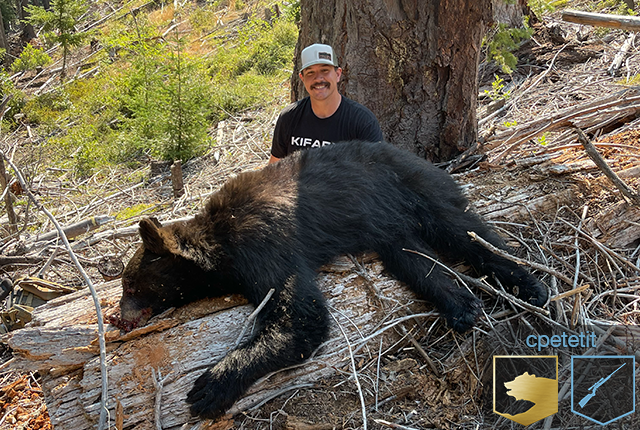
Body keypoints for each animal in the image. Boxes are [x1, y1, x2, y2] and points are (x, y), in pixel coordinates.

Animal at [111, 140, 548, 420]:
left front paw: (210, 386)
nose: (117, 316)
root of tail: (420, 157)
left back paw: (529, 285)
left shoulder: (266, 245)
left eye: (130, 286)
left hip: (414, 186)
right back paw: (461, 306)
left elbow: (299, 317)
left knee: (465, 232)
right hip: (388, 227)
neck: (219, 241)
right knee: (416, 260)